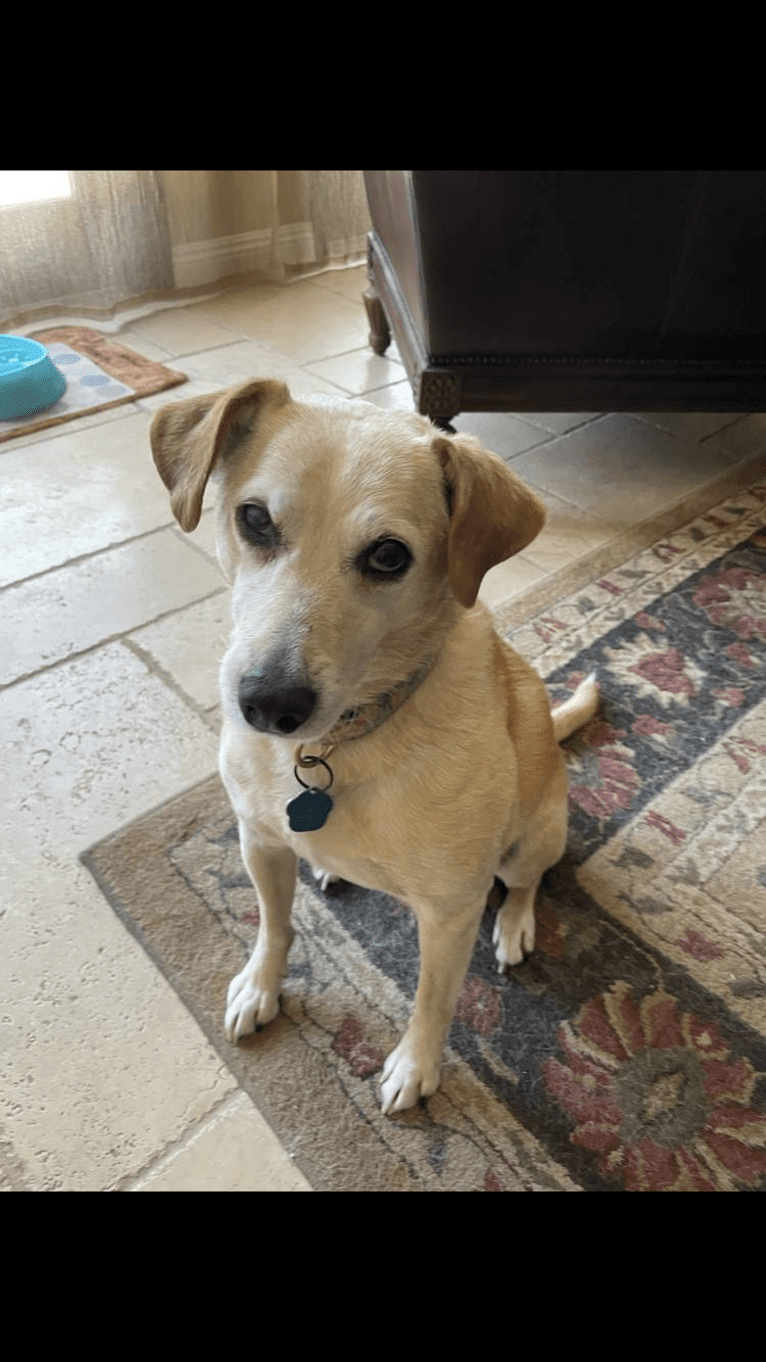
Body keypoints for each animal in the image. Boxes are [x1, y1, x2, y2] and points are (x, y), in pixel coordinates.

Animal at [150, 378, 596, 1111]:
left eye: (389, 556)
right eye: (255, 520)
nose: (269, 705)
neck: (335, 745)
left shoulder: (449, 913)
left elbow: (432, 999)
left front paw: (415, 1067)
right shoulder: (260, 842)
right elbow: (274, 925)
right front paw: (261, 986)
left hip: (535, 837)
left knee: (526, 882)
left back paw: (515, 924)